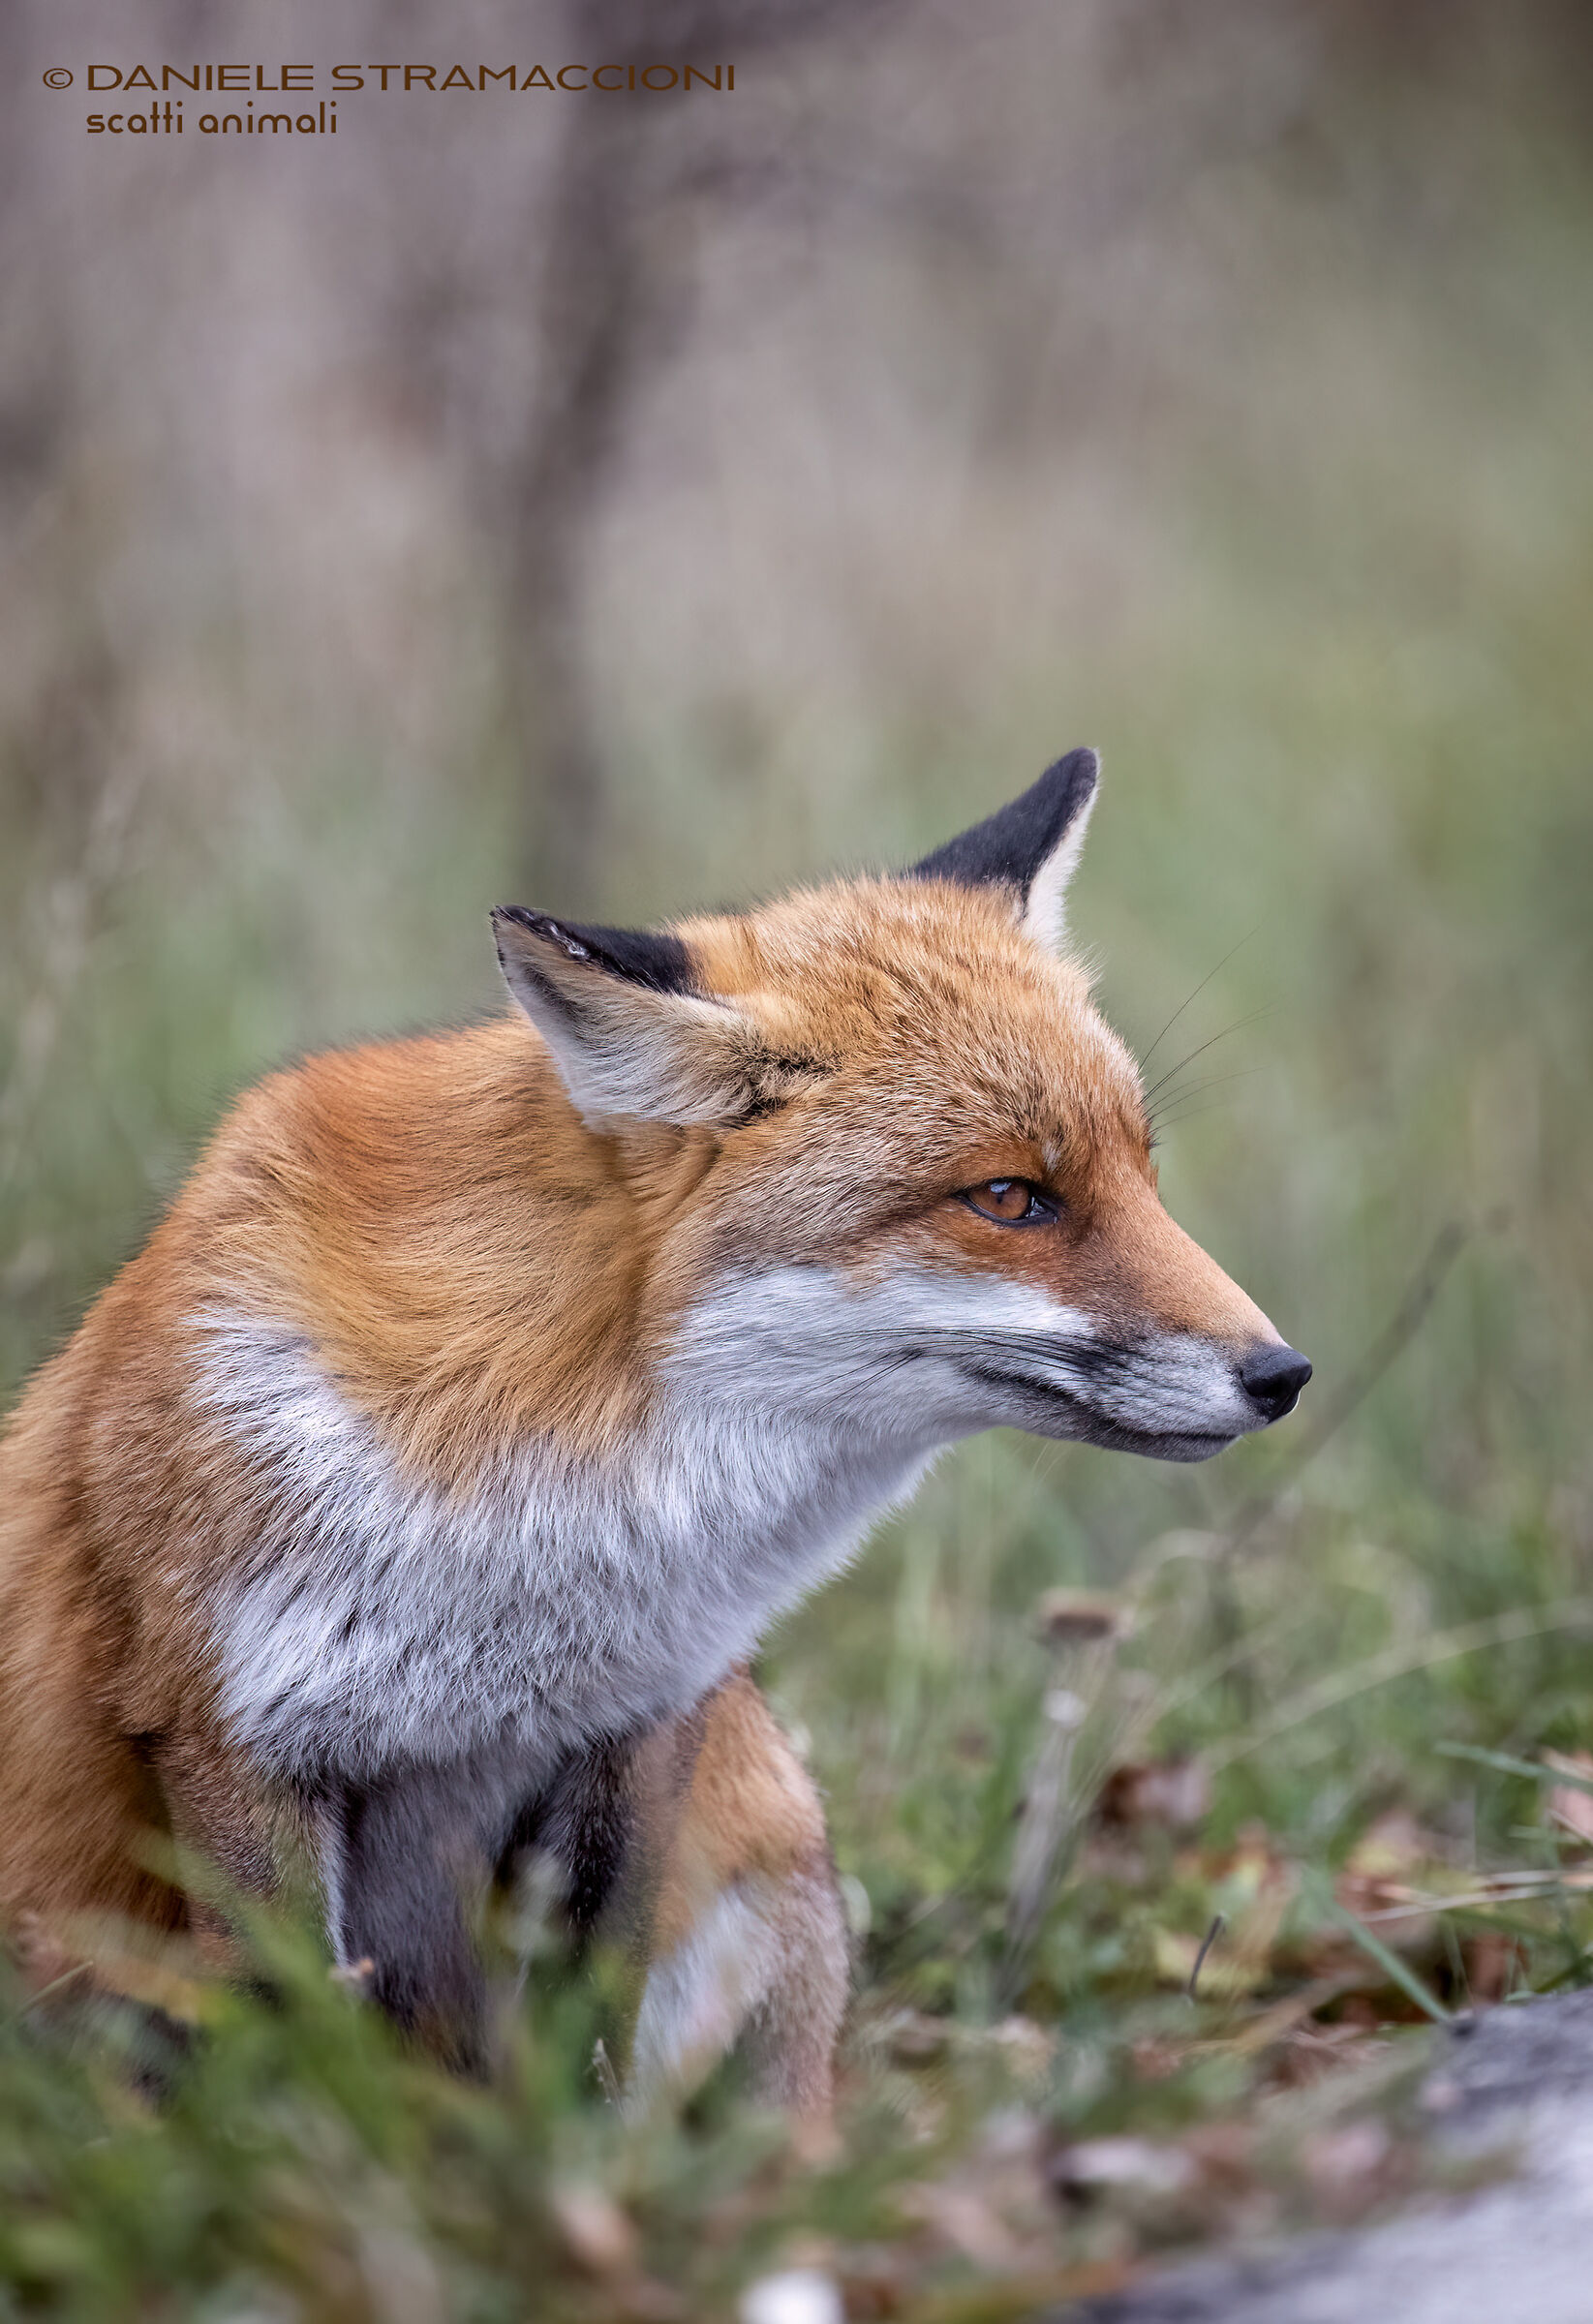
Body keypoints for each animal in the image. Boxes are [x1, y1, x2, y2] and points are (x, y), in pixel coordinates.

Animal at [0, 748, 1308, 2118]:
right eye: (1009, 1197)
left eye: (1142, 1172)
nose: (1283, 1374)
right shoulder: (227, 1732)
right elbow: (290, 2030)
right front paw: (319, 2159)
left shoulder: (634, 1725)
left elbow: (589, 2027)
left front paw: (578, 2167)